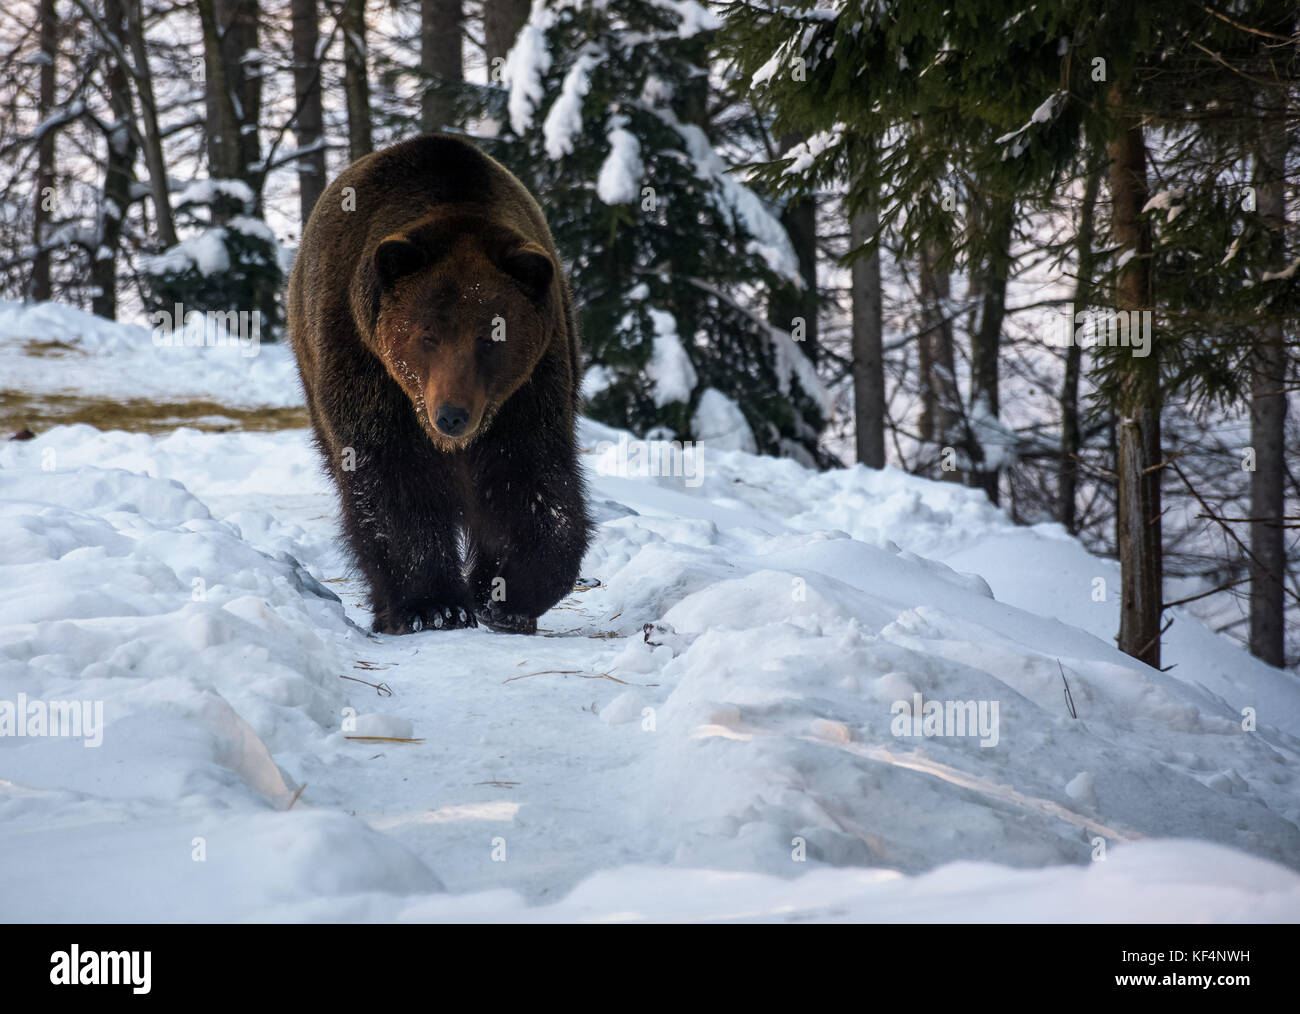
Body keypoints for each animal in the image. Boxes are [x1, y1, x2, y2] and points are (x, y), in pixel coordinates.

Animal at [291, 134, 595, 634]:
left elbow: (532, 483)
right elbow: (392, 481)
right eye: (427, 335)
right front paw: (435, 605)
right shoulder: (366, 366)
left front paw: (506, 595)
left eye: (492, 337)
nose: (451, 415)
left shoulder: (528, 390)